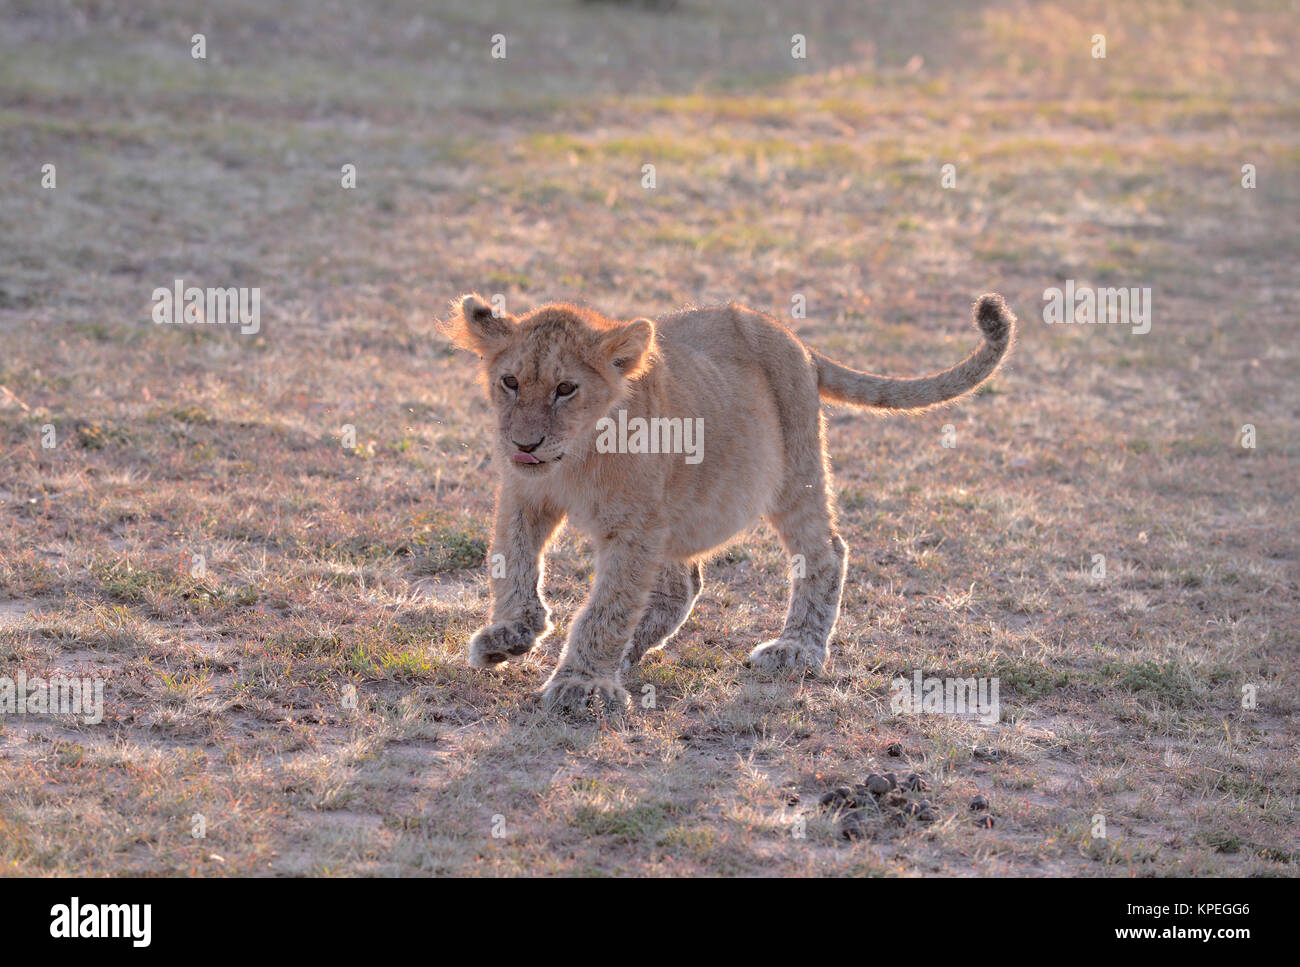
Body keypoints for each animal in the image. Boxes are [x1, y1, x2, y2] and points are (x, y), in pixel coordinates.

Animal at [439, 293, 1014, 716]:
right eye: (510, 381)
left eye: (566, 388)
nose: (525, 444)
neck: (575, 459)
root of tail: (795, 340)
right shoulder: (525, 497)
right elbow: (512, 564)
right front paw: (509, 636)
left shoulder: (635, 528)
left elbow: (607, 607)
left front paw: (581, 683)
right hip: (683, 509)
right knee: (682, 584)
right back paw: (630, 655)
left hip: (794, 473)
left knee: (826, 551)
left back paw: (796, 650)